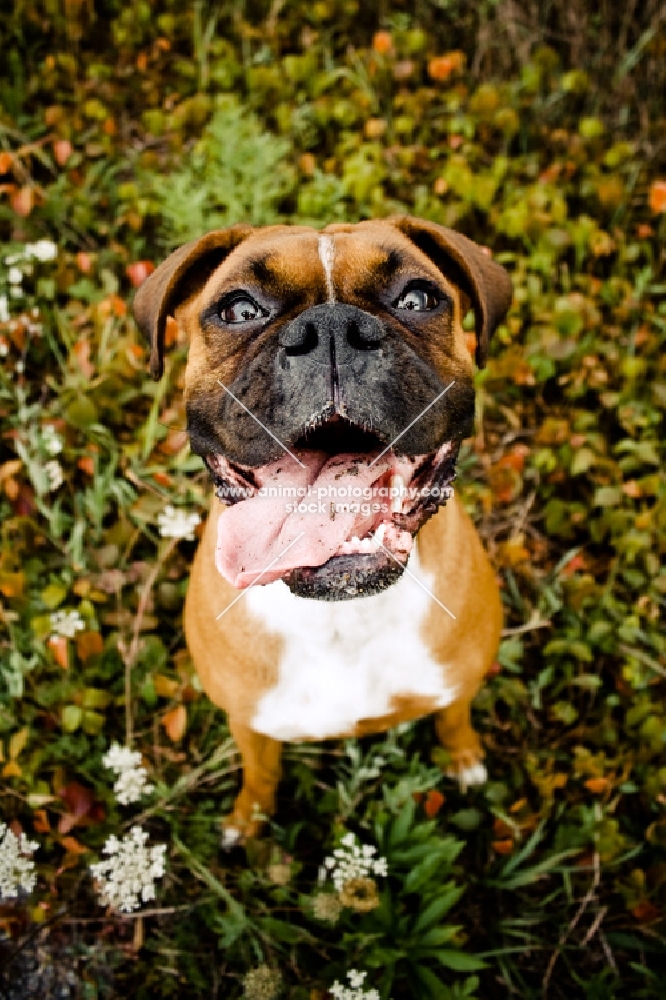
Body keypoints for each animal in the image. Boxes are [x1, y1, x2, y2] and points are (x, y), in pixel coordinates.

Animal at [134, 217, 508, 844]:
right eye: (238, 309)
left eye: (418, 299)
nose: (332, 330)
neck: (342, 612)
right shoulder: (251, 721)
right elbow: (261, 772)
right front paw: (249, 821)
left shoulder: (459, 682)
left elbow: (454, 718)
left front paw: (463, 758)